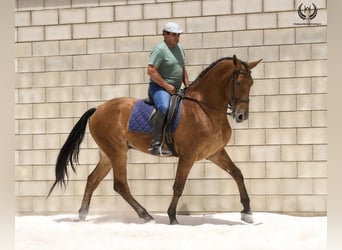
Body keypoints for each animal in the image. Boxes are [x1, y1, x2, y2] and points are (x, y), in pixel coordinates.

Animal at [47, 54, 262, 225]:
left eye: (251, 84)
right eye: (238, 83)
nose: (241, 116)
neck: (204, 109)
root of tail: (98, 109)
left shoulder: (215, 153)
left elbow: (237, 174)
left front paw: (247, 212)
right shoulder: (188, 156)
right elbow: (178, 186)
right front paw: (173, 217)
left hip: (107, 154)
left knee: (93, 179)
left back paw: (83, 214)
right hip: (117, 152)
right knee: (120, 184)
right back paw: (145, 215)